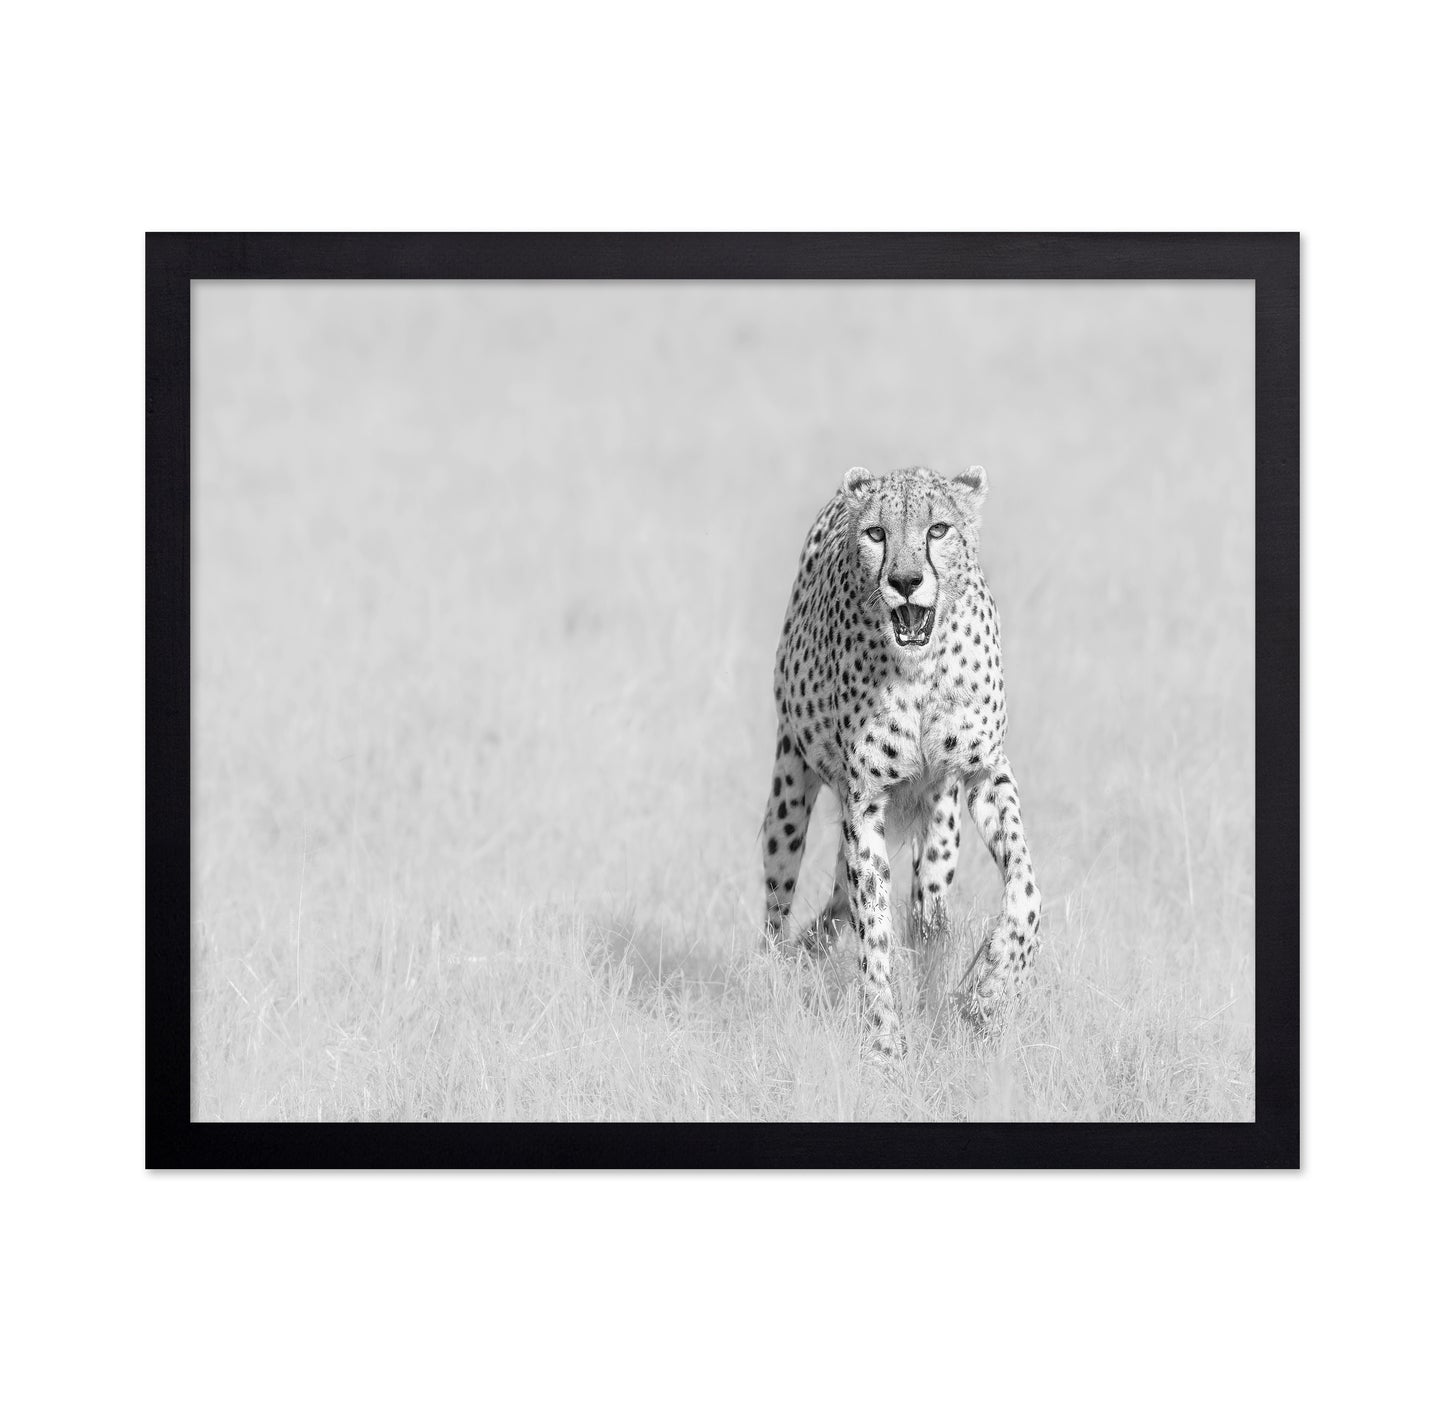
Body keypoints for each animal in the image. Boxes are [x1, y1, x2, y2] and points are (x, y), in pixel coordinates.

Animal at [761, 465, 1042, 1058]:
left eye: (938, 529)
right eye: (876, 534)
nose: (907, 581)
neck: (919, 668)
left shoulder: (985, 772)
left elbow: (1027, 890)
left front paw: (991, 987)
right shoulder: (864, 800)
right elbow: (873, 928)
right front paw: (885, 1043)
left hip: (940, 831)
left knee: (924, 916)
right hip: (789, 790)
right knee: (779, 904)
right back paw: (773, 976)